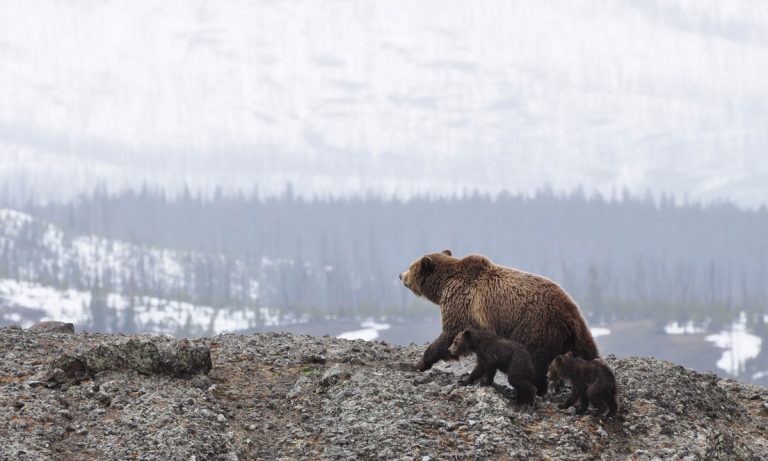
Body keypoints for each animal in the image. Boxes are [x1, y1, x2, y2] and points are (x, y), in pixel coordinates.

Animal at [399, 249, 599, 395]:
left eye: (411, 266)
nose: (400, 275)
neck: (443, 287)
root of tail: (569, 314)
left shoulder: (462, 305)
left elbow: (449, 334)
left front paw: (421, 362)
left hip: (535, 325)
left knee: (533, 359)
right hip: (577, 333)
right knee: (588, 352)